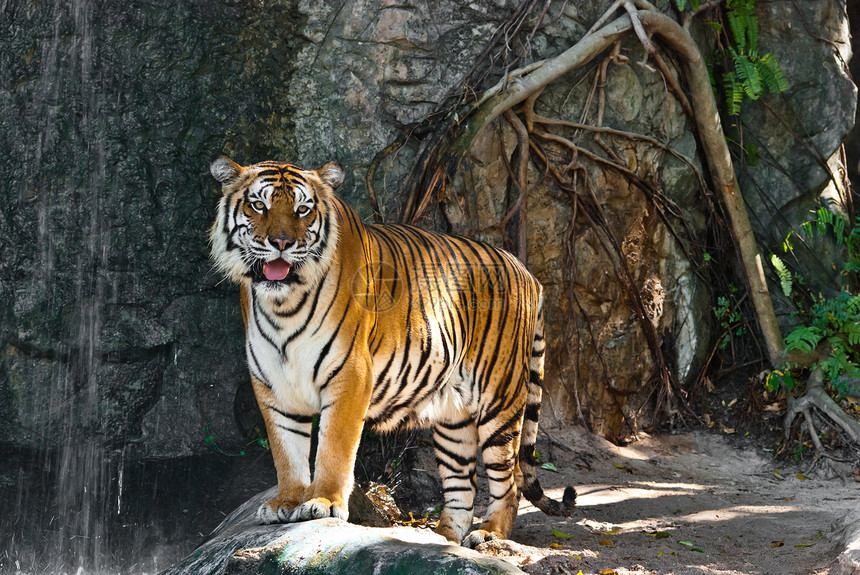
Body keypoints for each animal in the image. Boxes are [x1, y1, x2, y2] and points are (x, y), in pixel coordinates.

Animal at [208, 155, 576, 548]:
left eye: (302, 209)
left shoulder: (350, 375)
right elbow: (286, 452)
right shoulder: (274, 386)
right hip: (454, 419)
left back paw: (490, 533)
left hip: (499, 401)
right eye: (258, 205)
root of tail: (527, 273)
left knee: (507, 481)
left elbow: (334, 447)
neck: (282, 304)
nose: (281, 242)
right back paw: (441, 540)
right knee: (462, 486)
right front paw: (286, 503)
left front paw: (323, 502)